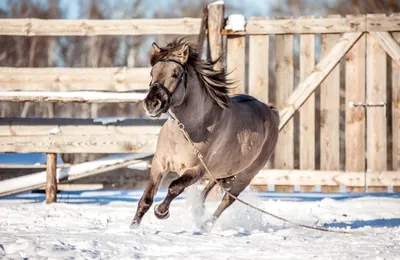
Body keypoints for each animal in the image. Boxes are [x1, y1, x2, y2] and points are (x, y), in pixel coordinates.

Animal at [130, 38, 280, 230]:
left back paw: (206, 224)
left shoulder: (196, 170)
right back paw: (198, 210)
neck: (185, 131)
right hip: (224, 170)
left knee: (227, 199)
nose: (151, 103)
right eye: (152, 73)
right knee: (214, 185)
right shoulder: (159, 165)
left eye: (175, 74)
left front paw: (161, 211)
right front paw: (133, 227)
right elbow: (146, 199)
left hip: (246, 175)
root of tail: (271, 112)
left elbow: (174, 186)